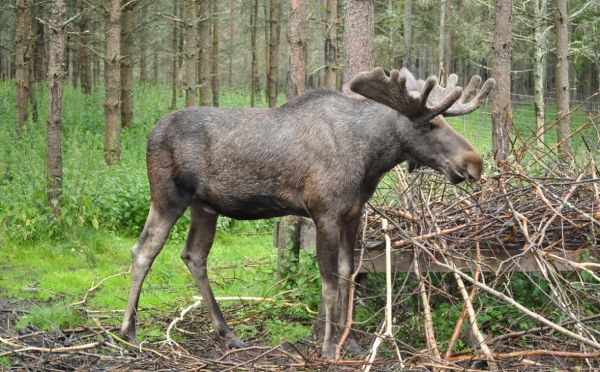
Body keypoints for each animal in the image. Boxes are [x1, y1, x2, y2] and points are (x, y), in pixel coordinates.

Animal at [119, 67, 494, 360]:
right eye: (429, 125)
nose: (474, 163)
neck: (370, 159)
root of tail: (151, 133)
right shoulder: (324, 211)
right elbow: (328, 282)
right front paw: (328, 347)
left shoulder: (352, 212)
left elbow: (348, 273)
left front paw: (350, 342)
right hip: (168, 196)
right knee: (143, 250)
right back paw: (128, 331)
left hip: (205, 206)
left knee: (194, 255)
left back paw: (226, 332)